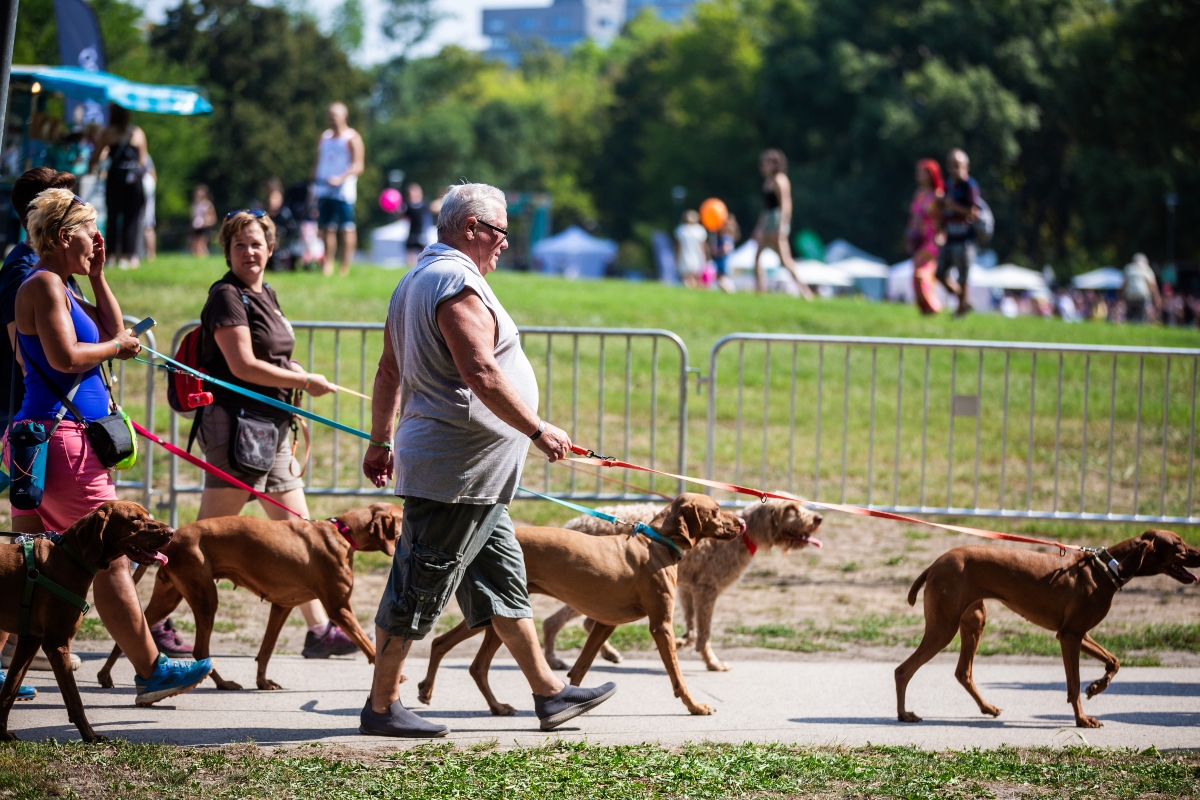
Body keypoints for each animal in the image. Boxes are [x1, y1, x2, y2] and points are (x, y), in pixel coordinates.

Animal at [0, 501, 174, 743]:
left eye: (148, 515)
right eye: (134, 519)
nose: (172, 532)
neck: (71, 558)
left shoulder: (30, 641)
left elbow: (9, 690)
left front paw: (2, 732)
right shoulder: (57, 644)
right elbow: (75, 699)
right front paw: (90, 735)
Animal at [94, 503, 403, 690]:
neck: (343, 533)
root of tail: (175, 535)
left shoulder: (281, 606)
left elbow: (265, 650)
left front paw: (263, 682)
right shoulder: (340, 609)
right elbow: (370, 647)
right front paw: (396, 677)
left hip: (168, 597)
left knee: (132, 629)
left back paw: (105, 675)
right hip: (206, 599)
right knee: (200, 650)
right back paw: (222, 683)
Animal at [417, 494, 744, 719]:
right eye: (716, 510)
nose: (741, 523)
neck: (657, 543)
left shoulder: (605, 623)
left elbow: (581, 667)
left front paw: (577, 700)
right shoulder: (660, 625)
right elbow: (677, 675)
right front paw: (695, 706)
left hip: (500, 612)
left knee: (460, 655)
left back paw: (486, 704)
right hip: (500, 610)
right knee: (452, 649)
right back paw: (434, 690)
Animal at [547, 496, 820, 671]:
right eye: (791, 508)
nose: (818, 518)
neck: (744, 534)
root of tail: (573, 523)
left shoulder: (689, 590)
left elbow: (693, 631)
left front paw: (680, 643)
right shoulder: (707, 590)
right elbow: (704, 633)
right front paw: (713, 663)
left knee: (583, 621)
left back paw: (606, 653)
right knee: (554, 621)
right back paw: (553, 660)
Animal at [902, 534, 1200, 729]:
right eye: (1178, 544)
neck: (1105, 569)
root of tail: (935, 563)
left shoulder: (1076, 633)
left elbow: (1114, 661)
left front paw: (1097, 686)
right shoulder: (1069, 636)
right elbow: (1074, 685)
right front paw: (1082, 720)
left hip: (974, 621)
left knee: (962, 671)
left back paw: (986, 708)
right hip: (944, 627)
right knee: (903, 670)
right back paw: (904, 714)